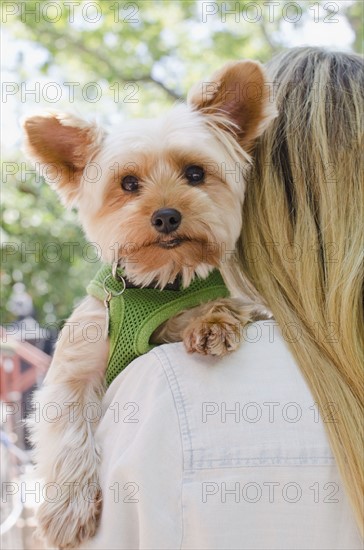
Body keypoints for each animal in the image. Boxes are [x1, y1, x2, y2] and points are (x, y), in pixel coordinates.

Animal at [24, 61, 274, 550]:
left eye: (195, 173)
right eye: (128, 184)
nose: (166, 216)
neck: (157, 281)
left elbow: (217, 307)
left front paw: (212, 323)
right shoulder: (75, 365)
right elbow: (68, 428)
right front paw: (67, 510)